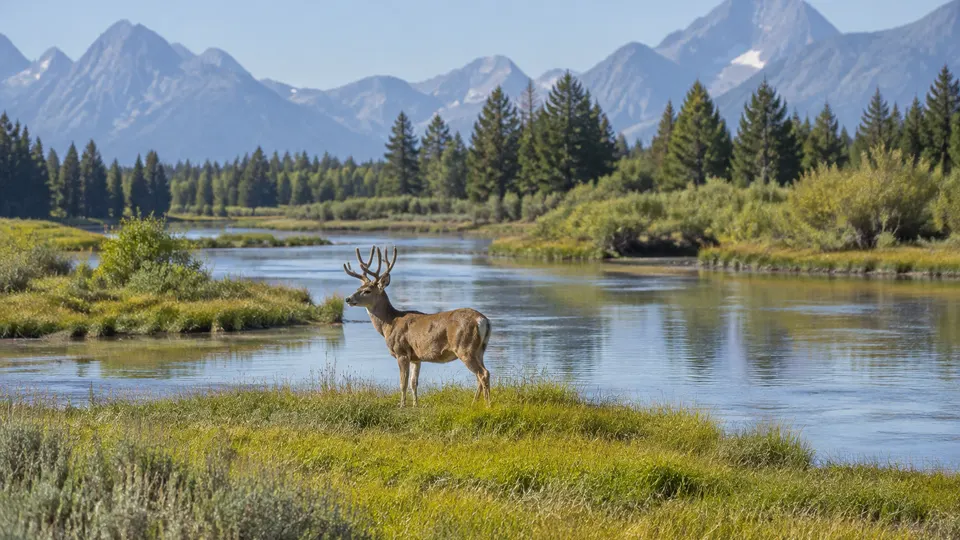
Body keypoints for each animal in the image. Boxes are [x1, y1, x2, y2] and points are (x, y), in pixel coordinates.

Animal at [342, 246, 492, 407]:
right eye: (358, 287)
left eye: (367, 291)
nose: (348, 299)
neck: (389, 324)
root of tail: (483, 320)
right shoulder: (416, 357)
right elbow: (413, 383)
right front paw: (415, 404)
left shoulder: (401, 351)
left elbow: (403, 383)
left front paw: (402, 405)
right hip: (480, 349)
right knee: (480, 374)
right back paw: (474, 403)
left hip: (464, 347)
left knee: (483, 373)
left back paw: (488, 405)